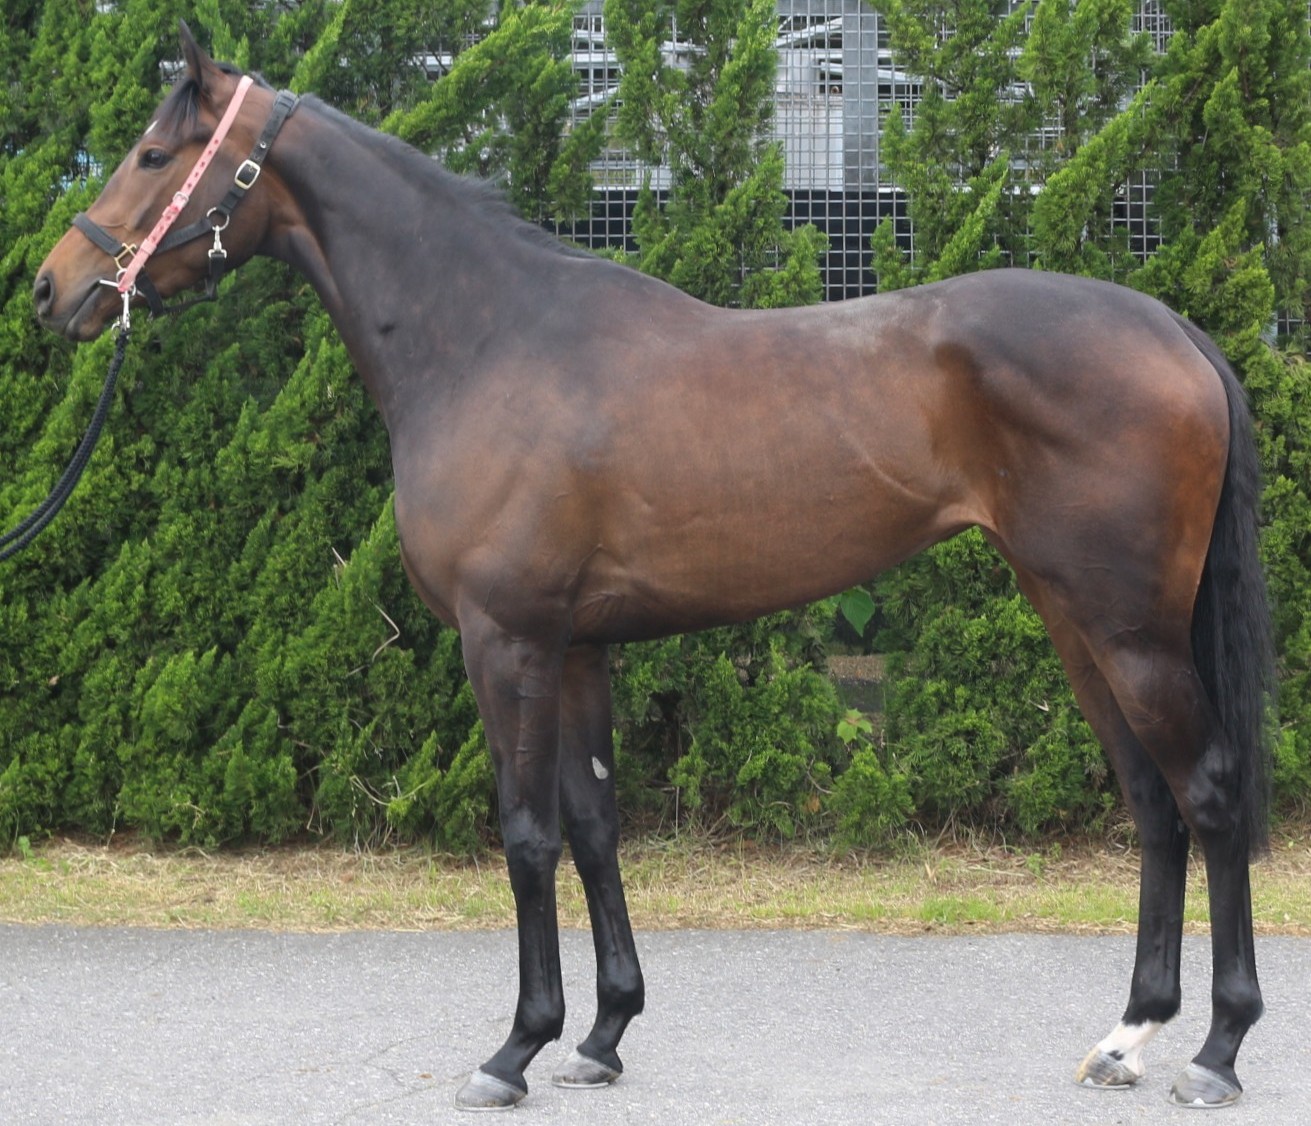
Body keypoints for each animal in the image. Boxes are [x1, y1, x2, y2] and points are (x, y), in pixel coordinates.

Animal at [34, 25, 1272, 1111]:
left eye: (154, 155)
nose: (53, 289)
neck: (488, 340)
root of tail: (1174, 329)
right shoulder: (578, 647)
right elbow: (593, 826)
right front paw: (601, 1034)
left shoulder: (508, 641)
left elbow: (526, 833)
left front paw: (514, 1050)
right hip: (1077, 620)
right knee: (1153, 802)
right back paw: (1128, 1035)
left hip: (1129, 631)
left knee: (1209, 793)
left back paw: (1217, 1050)